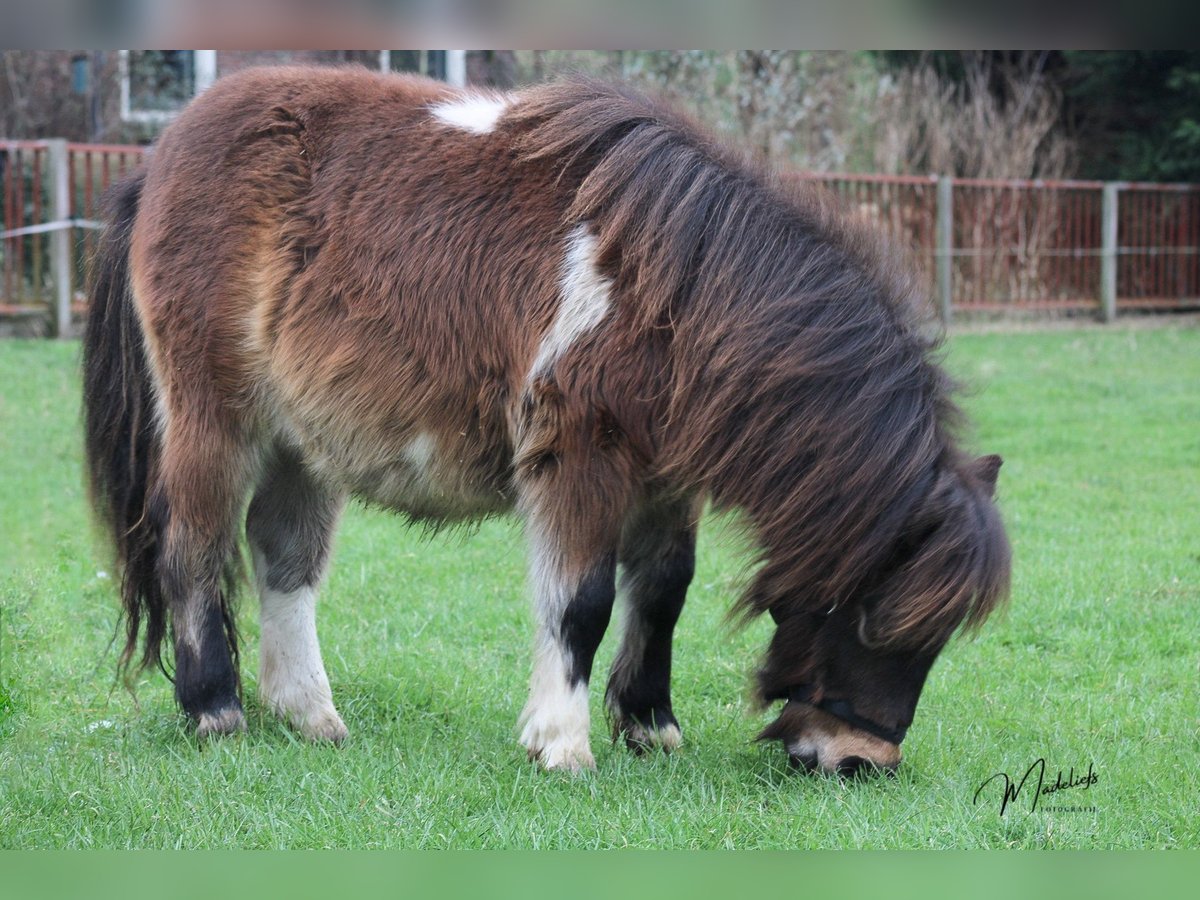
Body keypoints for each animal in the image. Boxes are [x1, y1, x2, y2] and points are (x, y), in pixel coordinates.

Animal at [79, 66, 1008, 777]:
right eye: (876, 619)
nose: (858, 760)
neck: (680, 290)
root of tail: (159, 159)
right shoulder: (582, 457)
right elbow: (583, 602)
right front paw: (561, 743)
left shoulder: (666, 478)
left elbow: (663, 590)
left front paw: (651, 725)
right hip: (217, 422)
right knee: (194, 549)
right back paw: (215, 709)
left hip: (300, 443)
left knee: (285, 562)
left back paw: (309, 714)